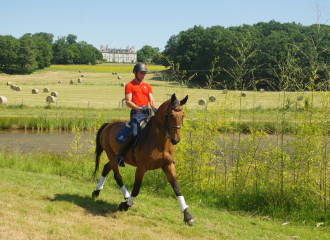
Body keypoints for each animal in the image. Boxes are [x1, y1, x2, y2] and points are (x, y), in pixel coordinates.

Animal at [91, 93, 193, 224]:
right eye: (171, 115)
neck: (159, 142)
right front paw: (126, 205)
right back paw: (125, 197)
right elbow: (136, 189)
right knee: (117, 177)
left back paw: (97, 191)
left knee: (106, 167)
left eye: (183, 115)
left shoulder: (168, 165)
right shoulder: (141, 168)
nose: (175, 139)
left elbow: (177, 188)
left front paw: (187, 215)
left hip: (114, 157)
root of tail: (108, 125)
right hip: (112, 156)